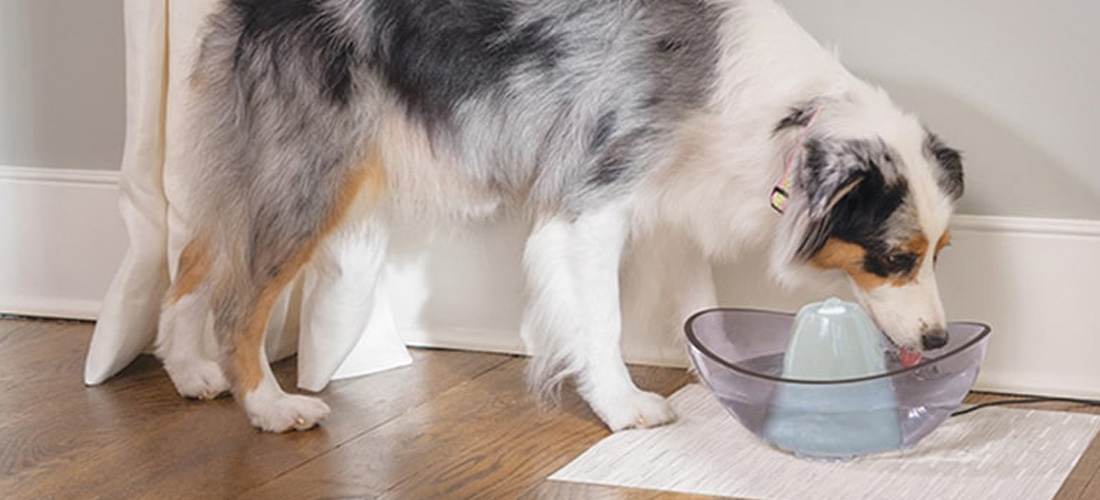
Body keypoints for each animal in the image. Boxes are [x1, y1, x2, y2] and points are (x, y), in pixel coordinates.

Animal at [155, 0, 963, 432]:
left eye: (940, 252)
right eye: (895, 258)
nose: (937, 338)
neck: (786, 119)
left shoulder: (675, 200)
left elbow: (699, 303)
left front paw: (723, 375)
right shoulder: (592, 202)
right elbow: (599, 320)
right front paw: (626, 406)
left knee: (192, 256)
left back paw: (189, 371)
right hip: (315, 171)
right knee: (237, 299)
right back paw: (268, 406)